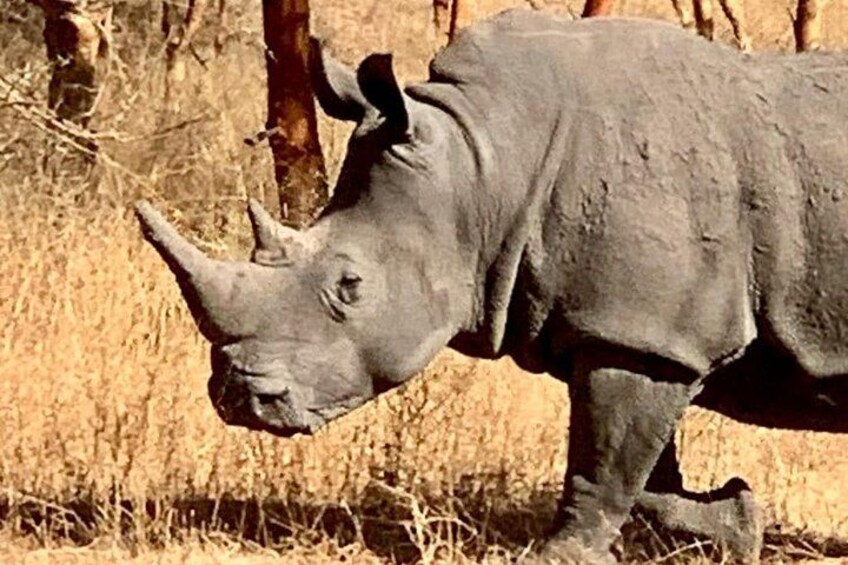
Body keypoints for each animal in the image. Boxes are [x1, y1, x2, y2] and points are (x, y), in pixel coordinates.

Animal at [135, 8, 848, 563]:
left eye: (350, 285)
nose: (239, 399)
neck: (484, 166)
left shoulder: (645, 336)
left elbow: (605, 462)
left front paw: (559, 557)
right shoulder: (631, 331)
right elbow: (645, 474)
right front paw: (739, 521)